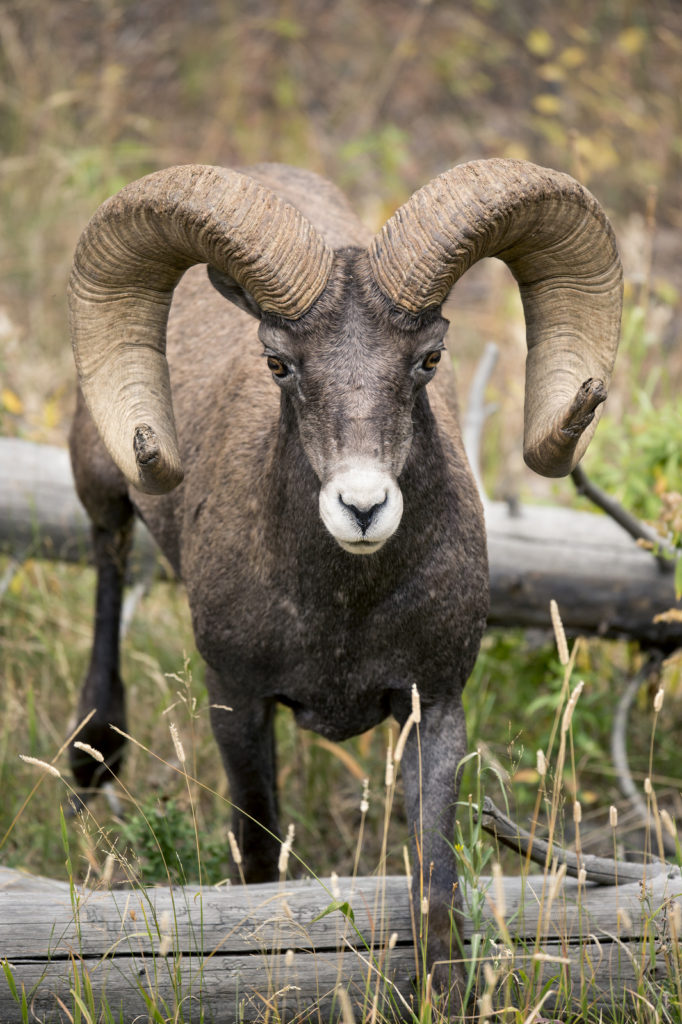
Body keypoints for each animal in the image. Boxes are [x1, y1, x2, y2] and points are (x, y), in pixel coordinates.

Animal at [66, 159, 618, 991]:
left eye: (429, 359)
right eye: (278, 363)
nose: (362, 507)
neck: (343, 615)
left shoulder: (434, 711)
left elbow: (433, 887)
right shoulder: (237, 705)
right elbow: (260, 858)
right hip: (101, 481)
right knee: (106, 562)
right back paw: (91, 751)